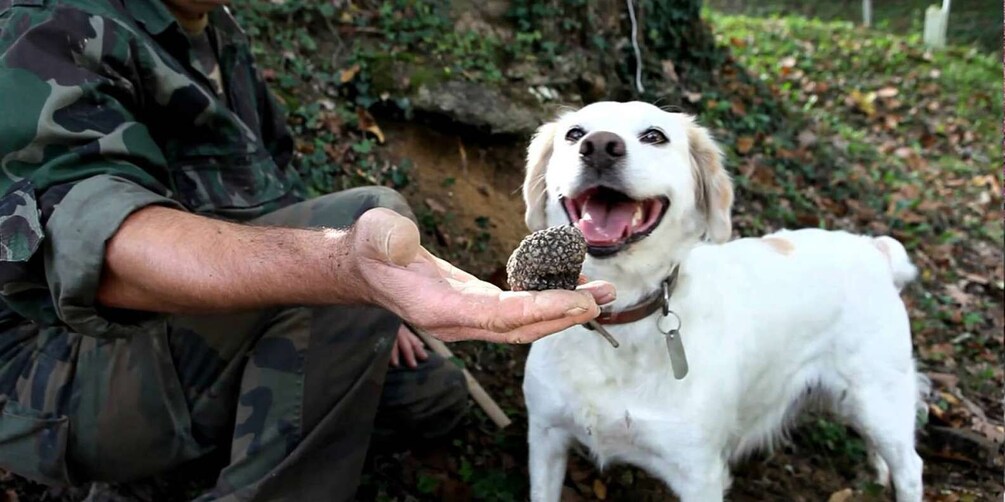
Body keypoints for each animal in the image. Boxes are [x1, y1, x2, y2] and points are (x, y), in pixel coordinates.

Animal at [522, 99, 920, 499]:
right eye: (575, 133)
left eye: (654, 136)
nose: (600, 146)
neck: (622, 315)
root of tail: (874, 248)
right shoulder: (545, 436)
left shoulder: (700, 474)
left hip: (879, 399)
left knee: (910, 467)